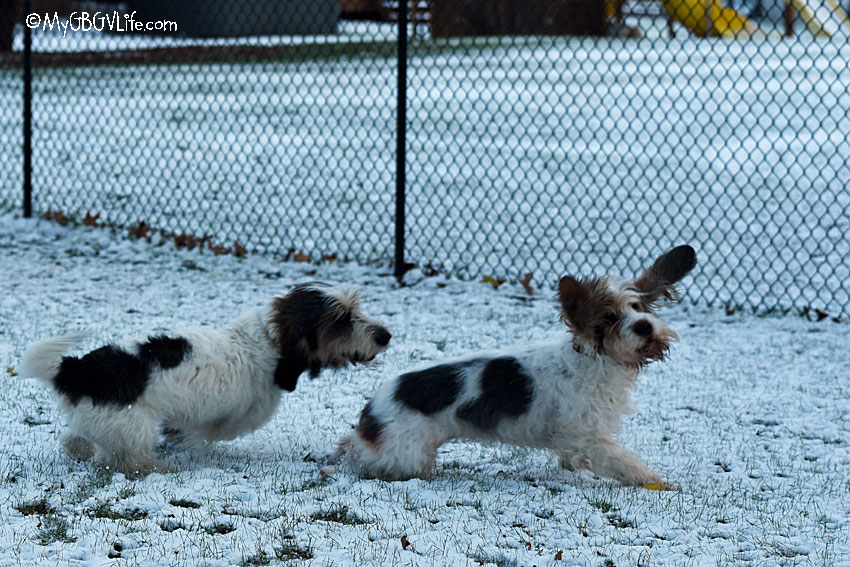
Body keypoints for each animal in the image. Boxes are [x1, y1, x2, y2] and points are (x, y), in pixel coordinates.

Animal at [20, 284, 390, 474]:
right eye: (342, 318)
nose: (385, 336)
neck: (266, 340)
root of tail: (77, 368)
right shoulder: (232, 418)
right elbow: (205, 434)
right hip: (133, 426)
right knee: (128, 460)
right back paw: (158, 466)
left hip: (102, 421)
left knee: (76, 441)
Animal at [336, 246, 696, 490]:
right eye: (609, 318)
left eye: (637, 307)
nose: (645, 326)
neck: (593, 360)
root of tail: (369, 413)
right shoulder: (586, 438)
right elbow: (624, 461)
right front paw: (654, 480)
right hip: (408, 456)